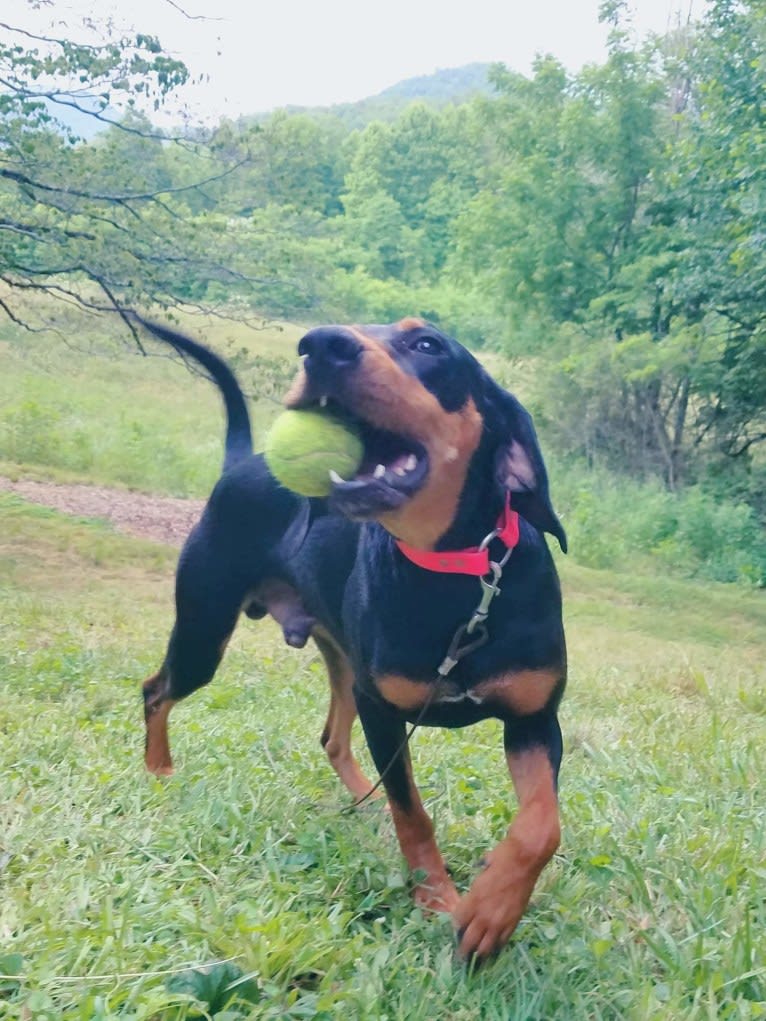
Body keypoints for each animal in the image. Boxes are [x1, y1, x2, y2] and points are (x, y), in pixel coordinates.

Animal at [140, 316, 567, 955]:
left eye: (427, 344)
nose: (319, 345)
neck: (458, 576)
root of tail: (240, 464)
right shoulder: (384, 711)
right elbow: (412, 812)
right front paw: (438, 898)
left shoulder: (534, 719)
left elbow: (542, 824)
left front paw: (493, 908)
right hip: (205, 632)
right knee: (156, 690)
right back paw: (160, 771)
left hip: (339, 661)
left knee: (332, 738)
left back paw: (363, 799)